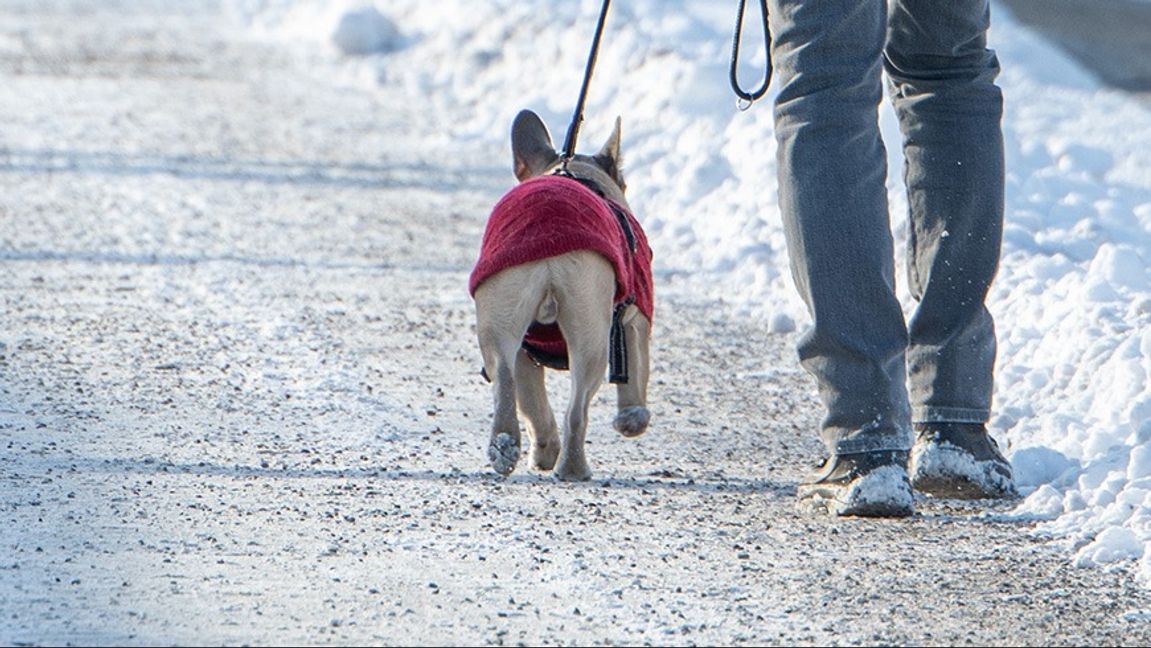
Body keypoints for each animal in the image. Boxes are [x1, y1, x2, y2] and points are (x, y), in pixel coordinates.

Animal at [465, 108, 649, 478]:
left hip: (503, 313)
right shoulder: (637, 316)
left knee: (506, 381)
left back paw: (507, 449)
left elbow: (533, 402)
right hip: (591, 331)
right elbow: (636, 370)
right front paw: (632, 418)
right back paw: (574, 468)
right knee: (577, 410)